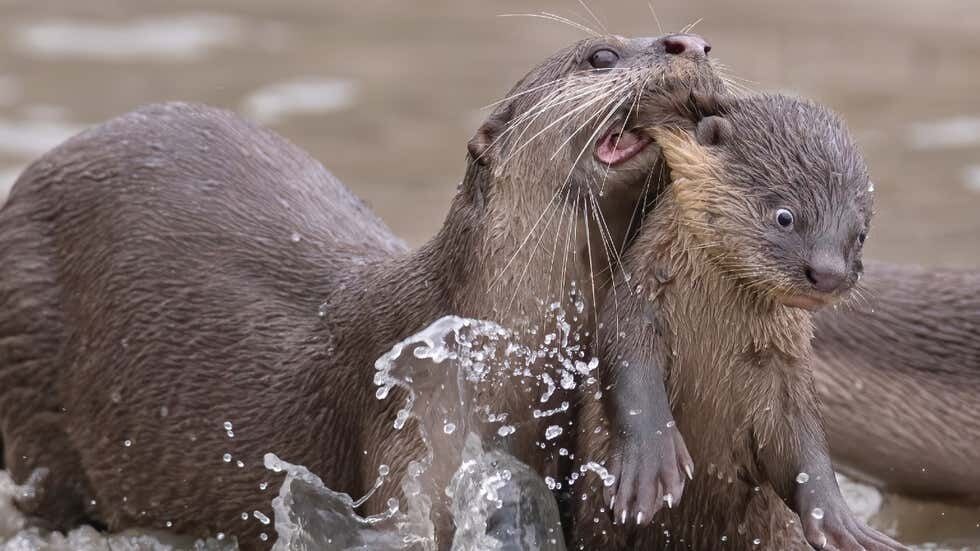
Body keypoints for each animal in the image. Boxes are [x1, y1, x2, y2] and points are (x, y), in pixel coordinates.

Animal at [572, 92, 908, 548]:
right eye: (785, 215)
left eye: (860, 234)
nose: (829, 273)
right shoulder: (637, 304)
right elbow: (629, 371)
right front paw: (649, 467)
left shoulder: (785, 369)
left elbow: (804, 446)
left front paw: (843, 523)